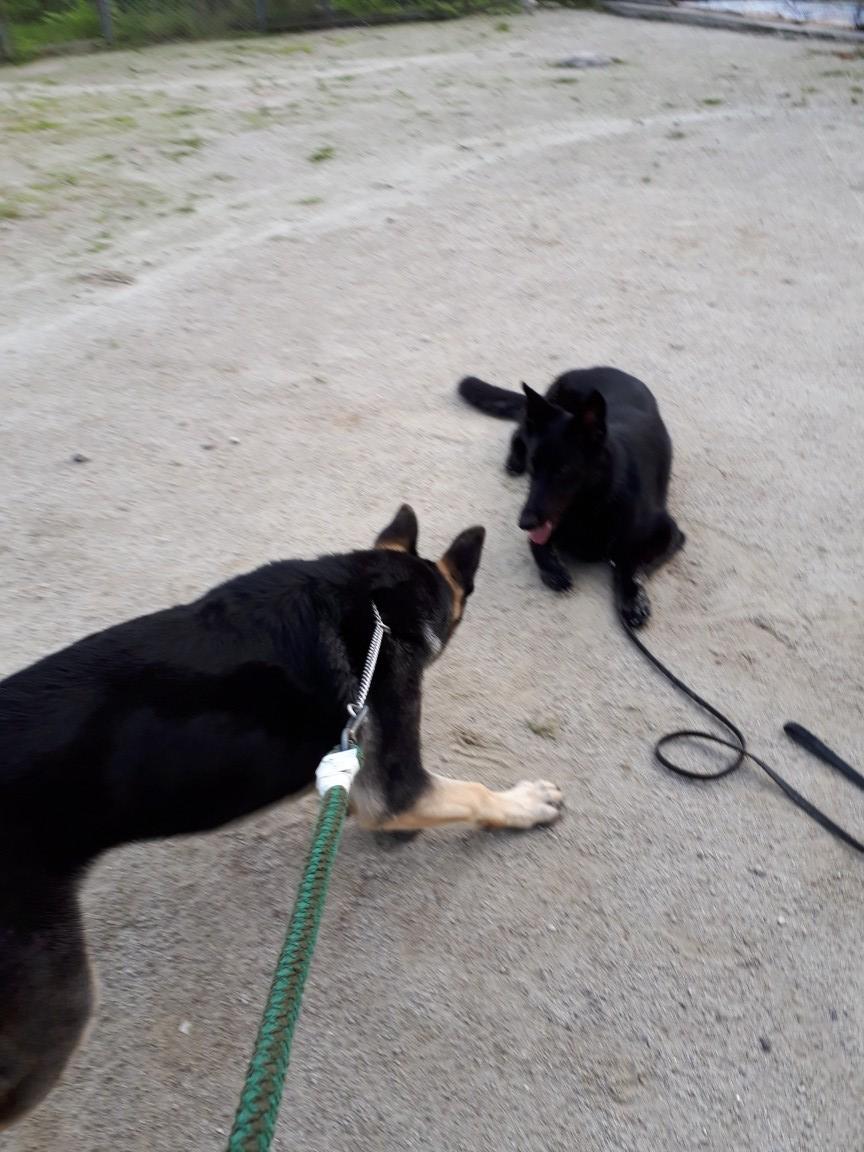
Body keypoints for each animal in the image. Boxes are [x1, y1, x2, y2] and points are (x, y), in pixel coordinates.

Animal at [458, 368, 684, 626]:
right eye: (534, 466)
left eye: (563, 470)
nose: (524, 522)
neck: (596, 504)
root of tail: (584, 370)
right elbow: (537, 546)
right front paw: (553, 569)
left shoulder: (669, 534)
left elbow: (629, 563)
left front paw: (632, 597)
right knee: (520, 430)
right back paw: (514, 460)